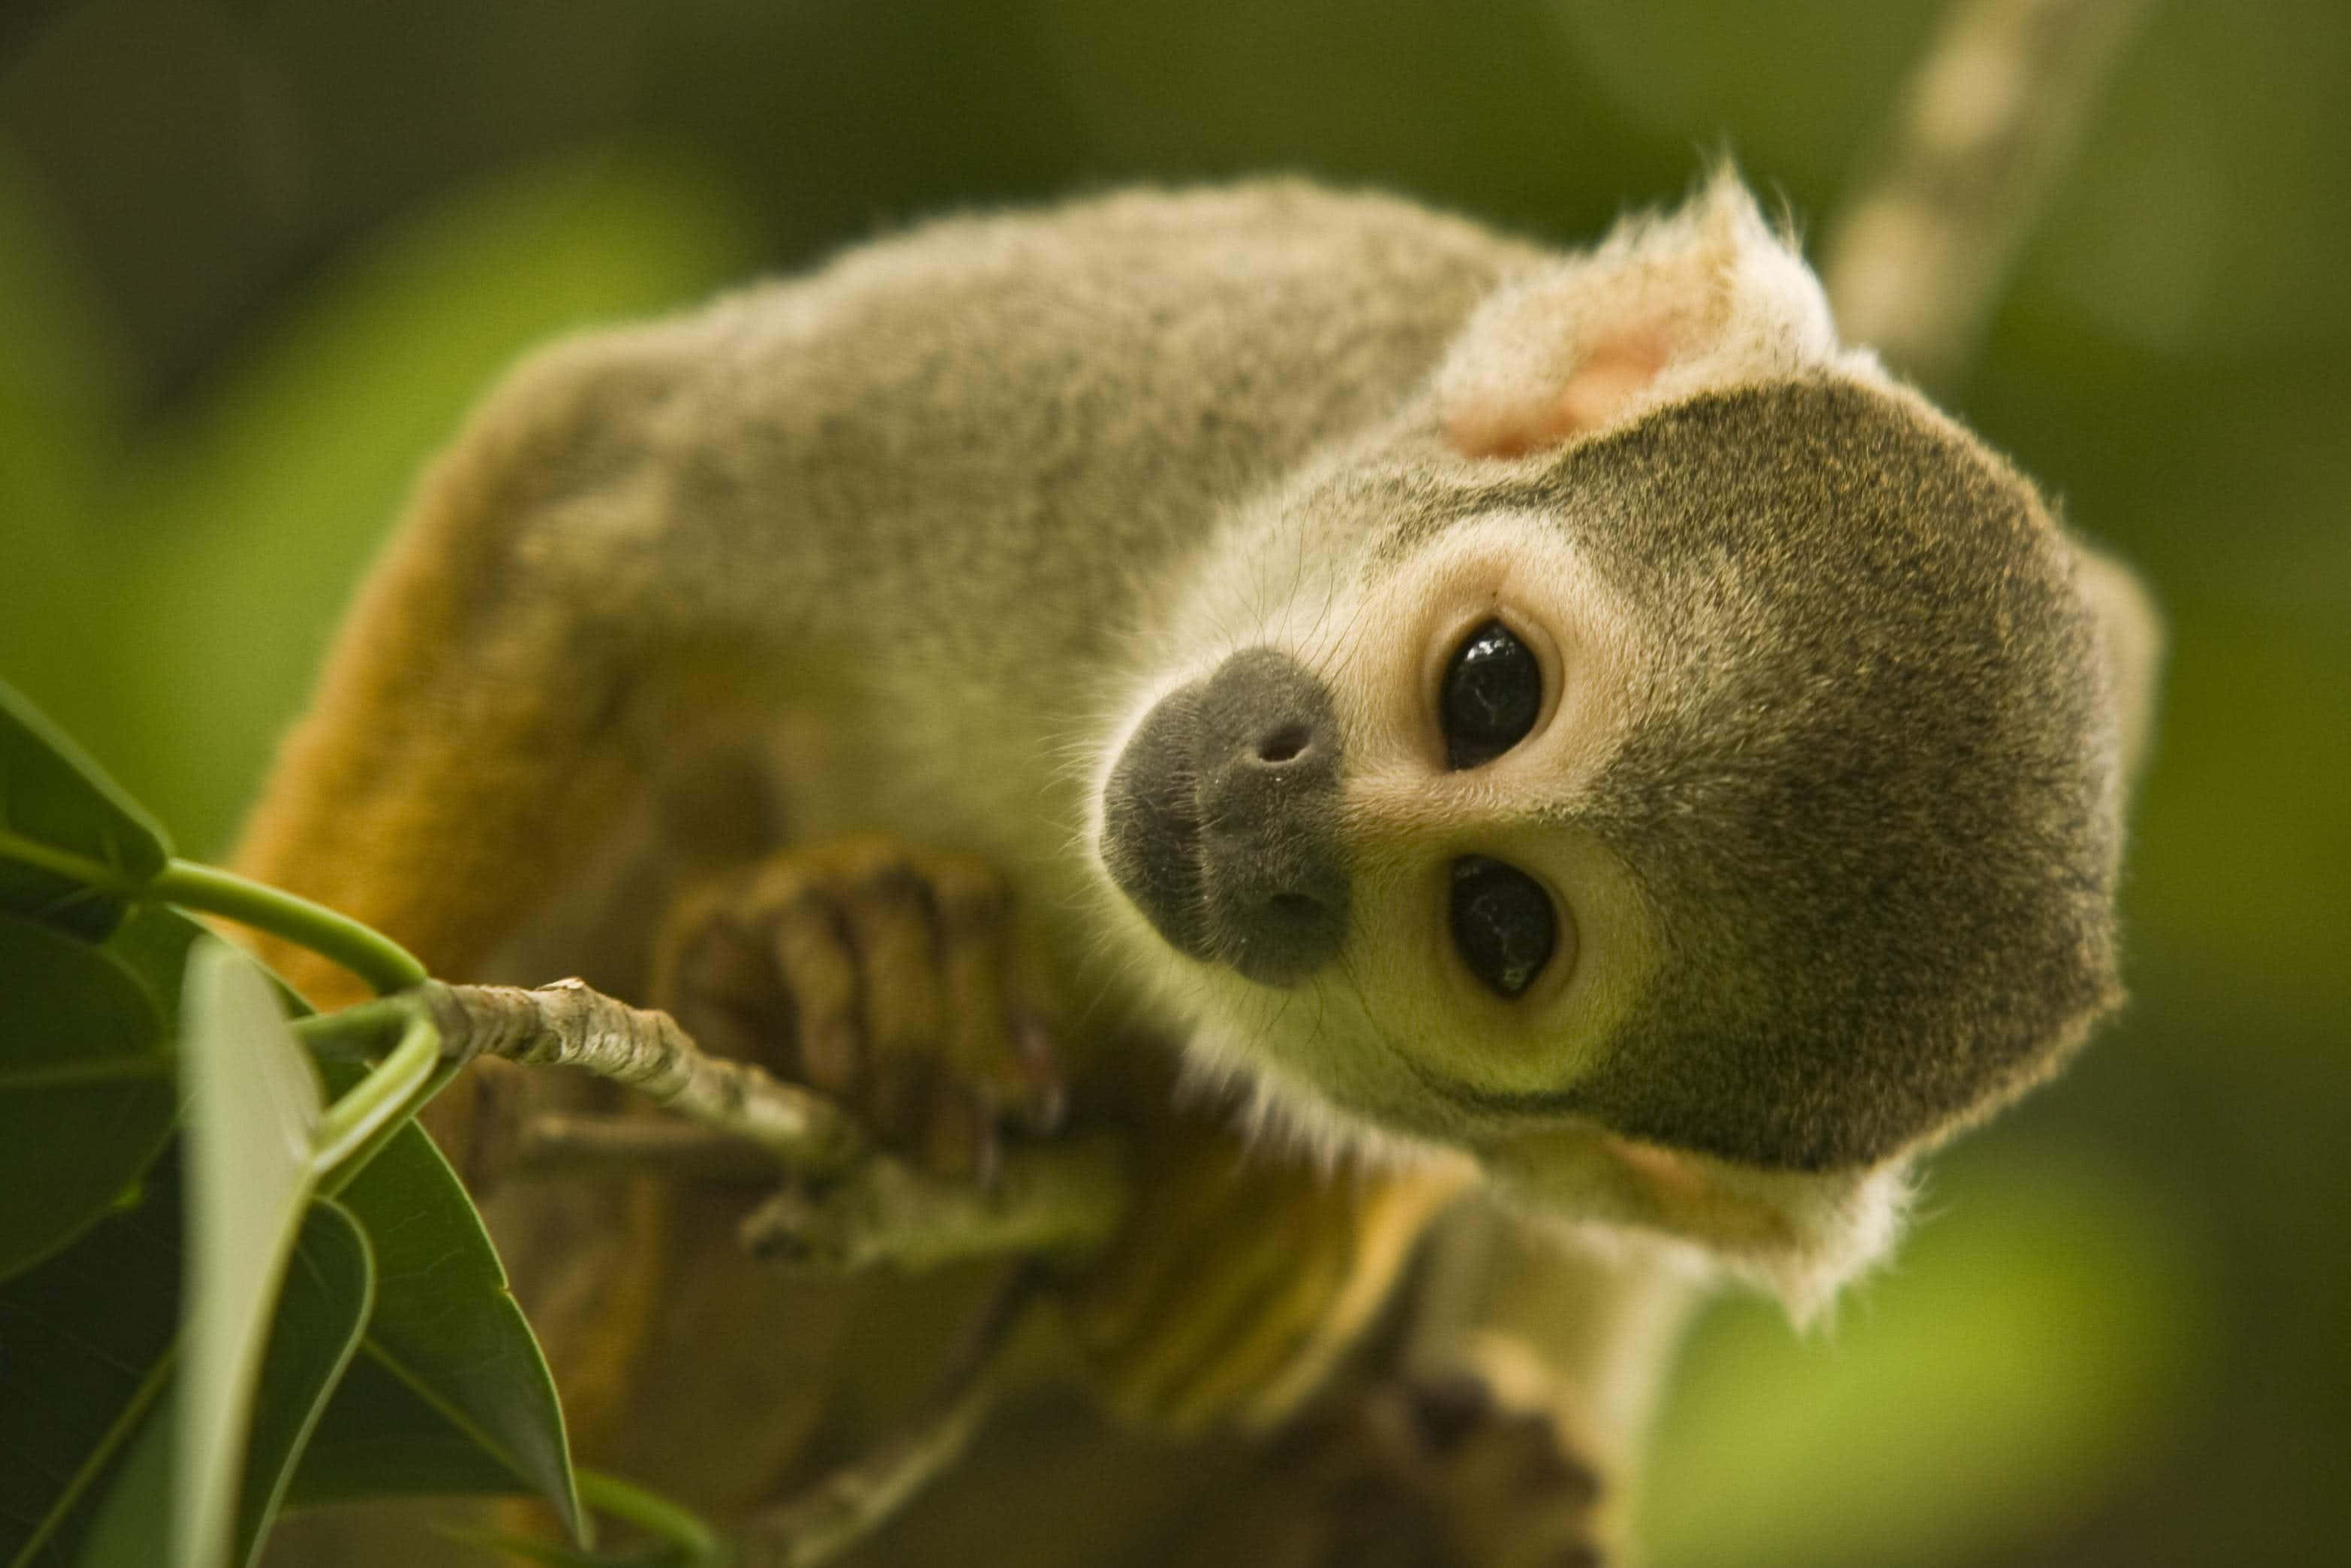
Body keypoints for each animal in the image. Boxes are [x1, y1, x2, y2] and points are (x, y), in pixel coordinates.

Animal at [235, 171, 2159, 1566]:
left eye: (1499, 926)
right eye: (1490, 684)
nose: (1269, 822)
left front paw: (1282, 1205)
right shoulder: (1189, 372)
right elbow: (597, 492)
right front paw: (292, 1110)